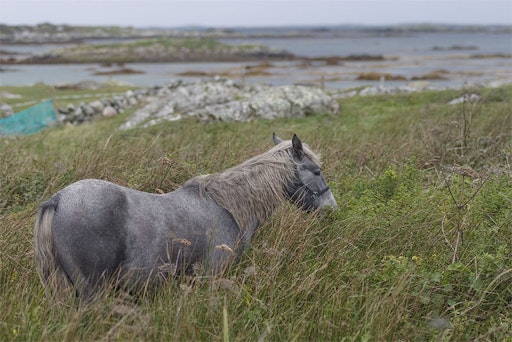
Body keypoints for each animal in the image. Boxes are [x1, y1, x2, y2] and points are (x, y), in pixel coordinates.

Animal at [34, 134, 338, 300]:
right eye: (316, 171)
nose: (332, 209)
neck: (228, 206)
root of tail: (59, 199)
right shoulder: (212, 275)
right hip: (92, 291)